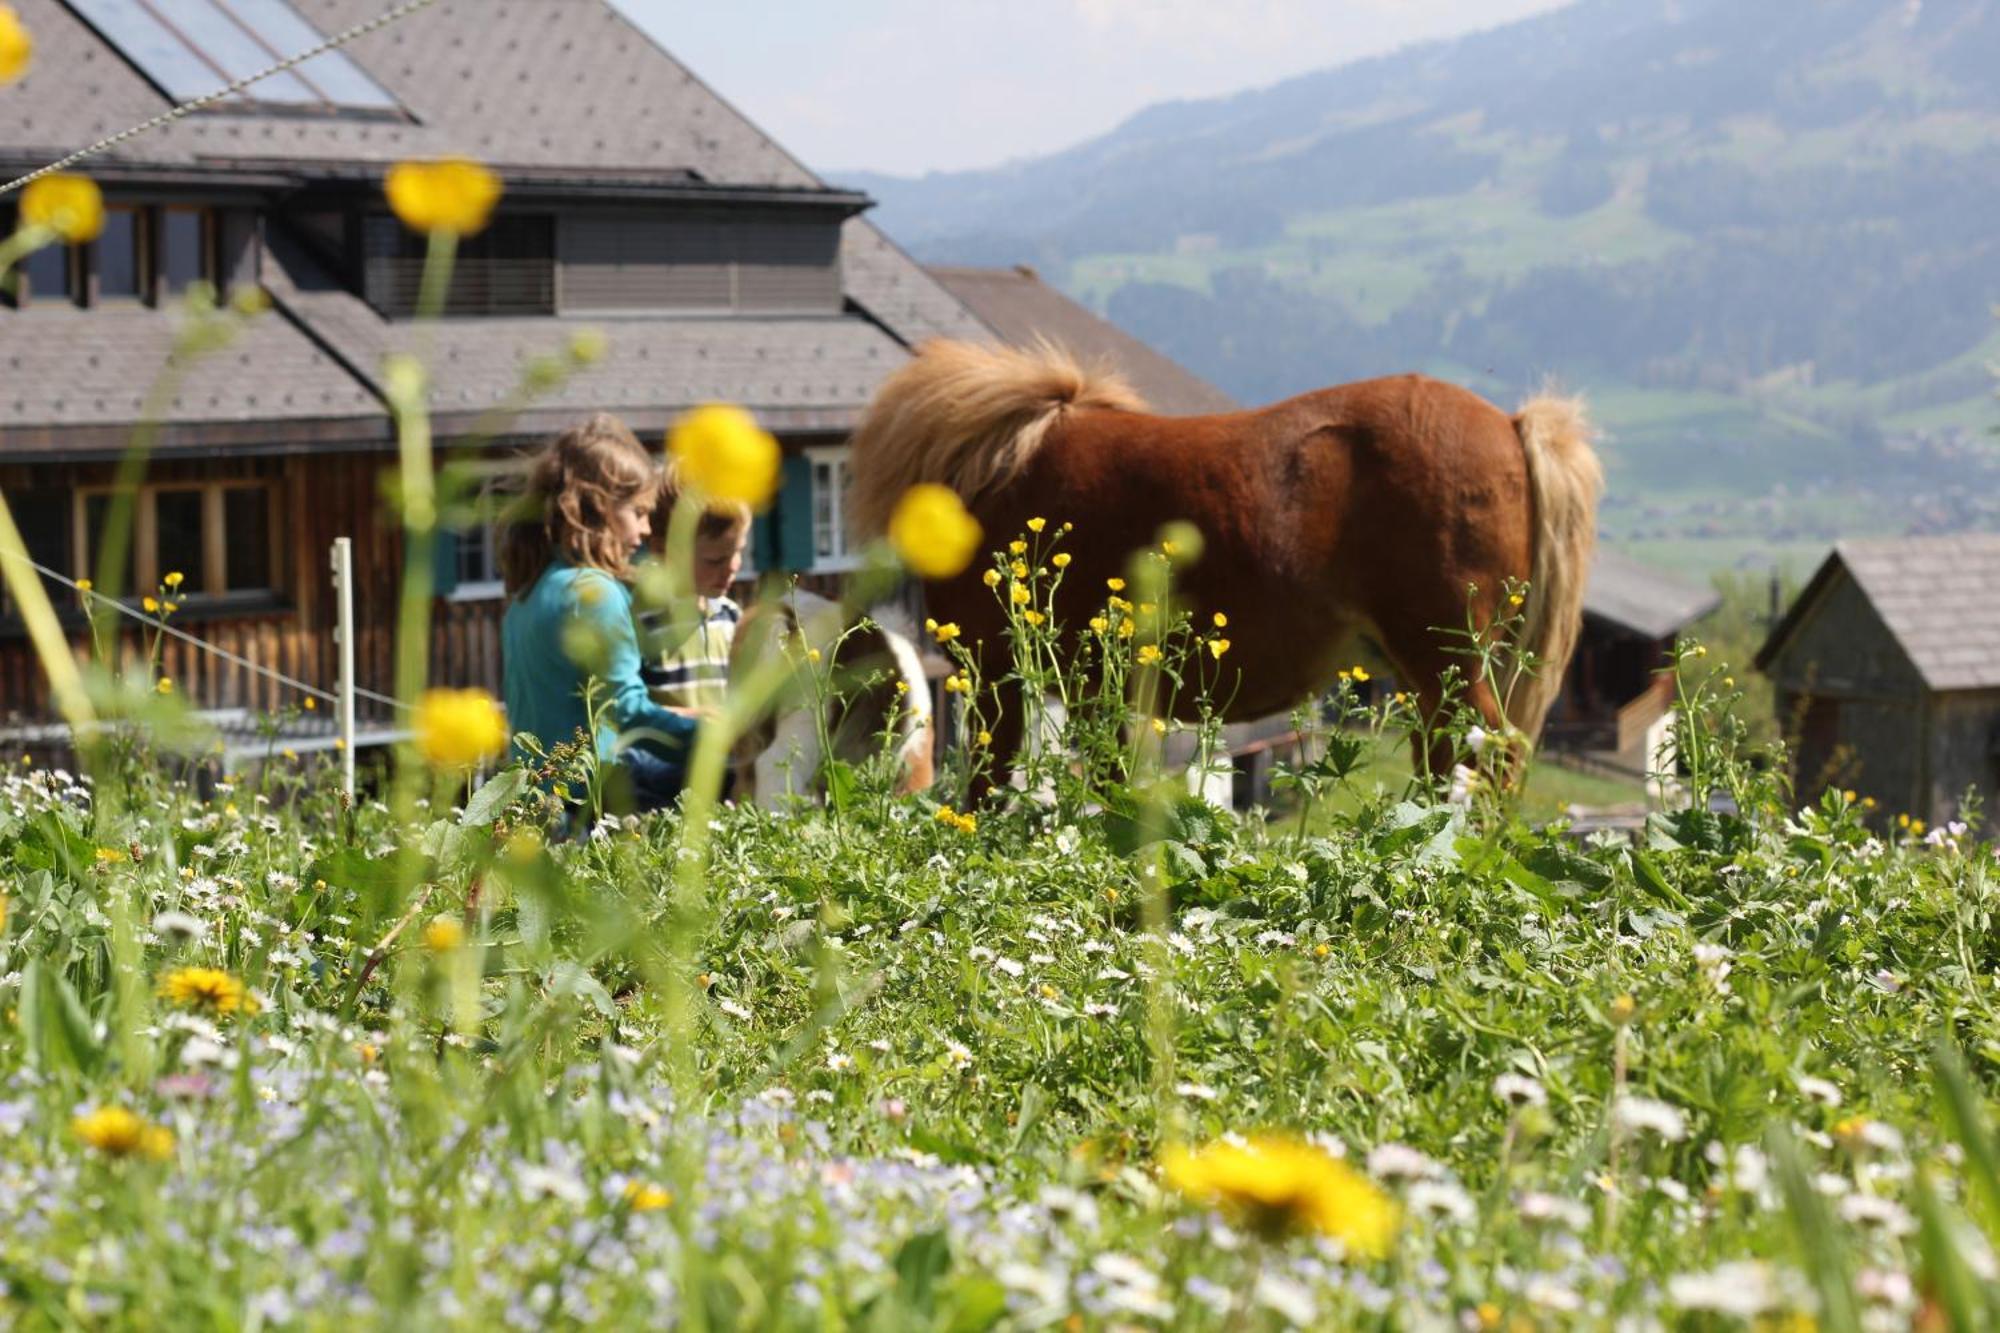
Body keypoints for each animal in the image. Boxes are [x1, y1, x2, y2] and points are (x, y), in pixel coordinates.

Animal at [852, 340, 1600, 780]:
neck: (1000, 468)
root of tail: (1511, 425)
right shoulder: (1093, 692)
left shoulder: (998, 680)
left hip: (1447, 662)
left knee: (1488, 757)